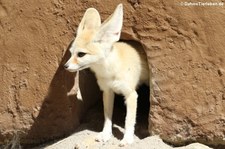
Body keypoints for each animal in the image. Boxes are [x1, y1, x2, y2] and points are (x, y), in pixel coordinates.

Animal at [64, 3, 149, 147]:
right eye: (71, 53)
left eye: (81, 54)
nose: (65, 66)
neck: (110, 72)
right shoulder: (107, 91)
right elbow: (107, 116)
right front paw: (106, 134)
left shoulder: (131, 94)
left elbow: (129, 120)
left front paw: (127, 138)